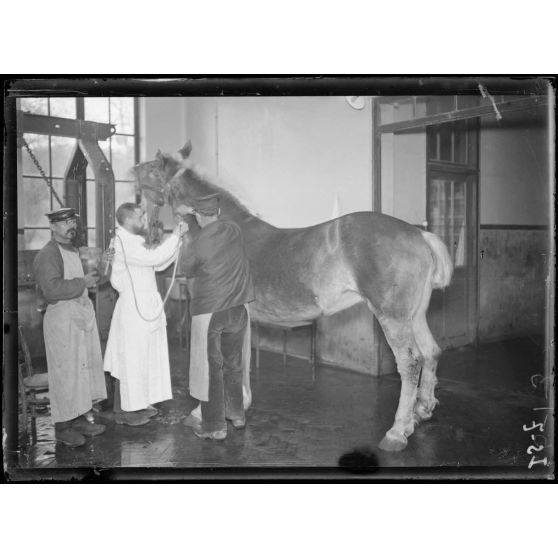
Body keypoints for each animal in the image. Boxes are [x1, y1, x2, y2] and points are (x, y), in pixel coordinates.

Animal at [136, 144, 456, 456]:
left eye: (149, 171)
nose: (133, 173)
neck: (225, 229)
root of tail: (419, 234)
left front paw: (203, 415)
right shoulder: (244, 318)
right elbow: (241, 360)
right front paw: (240, 405)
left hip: (392, 318)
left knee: (410, 363)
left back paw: (396, 432)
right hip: (414, 316)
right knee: (430, 352)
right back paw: (420, 412)